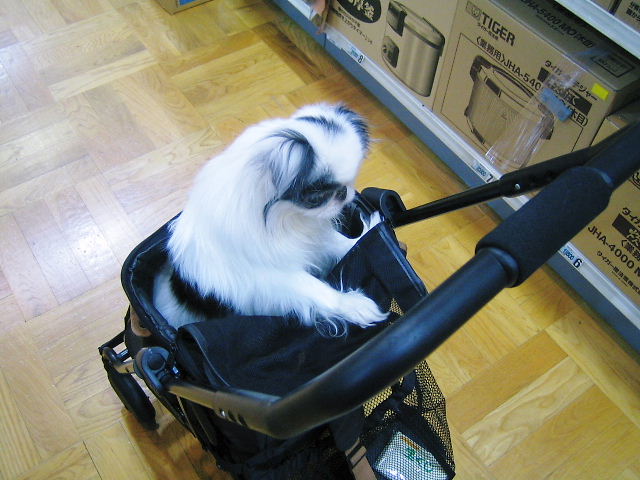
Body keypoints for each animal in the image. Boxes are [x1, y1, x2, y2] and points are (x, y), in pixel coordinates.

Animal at [153, 103, 388, 333]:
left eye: (351, 180)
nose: (343, 193)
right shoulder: (273, 277)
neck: (285, 216)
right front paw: (354, 306)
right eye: (316, 195)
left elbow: (343, 244)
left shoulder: (311, 240)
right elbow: (315, 289)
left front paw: (369, 234)